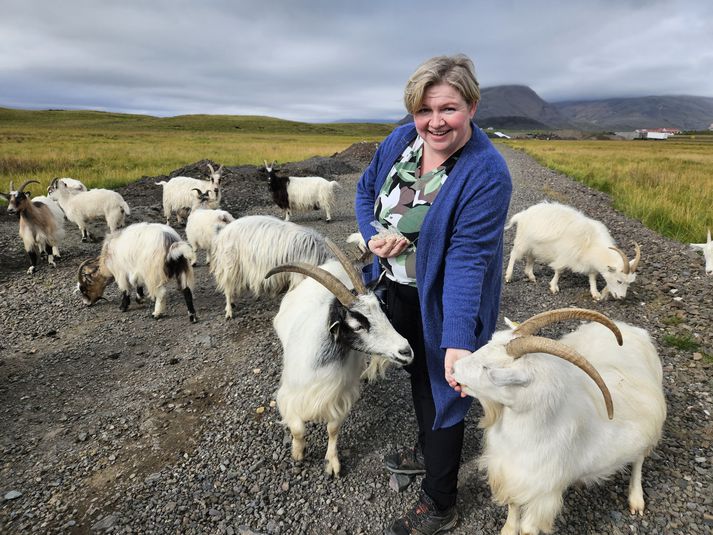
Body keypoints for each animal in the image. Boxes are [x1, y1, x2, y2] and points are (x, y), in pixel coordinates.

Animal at [266, 239, 412, 478]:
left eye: (383, 312)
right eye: (357, 325)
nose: (406, 351)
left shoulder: (338, 397)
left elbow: (333, 429)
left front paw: (332, 463)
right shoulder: (291, 394)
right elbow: (297, 428)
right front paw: (298, 453)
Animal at [454, 310, 664, 535]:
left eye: (487, 368)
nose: (453, 368)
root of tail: (633, 330)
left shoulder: (542, 494)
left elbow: (528, 529)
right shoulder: (513, 476)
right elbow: (513, 506)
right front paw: (508, 530)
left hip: (649, 428)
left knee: (639, 460)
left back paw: (636, 499)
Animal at [506, 202, 640, 302]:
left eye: (629, 283)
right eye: (619, 281)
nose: (621, 297)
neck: (592, 244)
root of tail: (523, 214)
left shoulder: (590, 263)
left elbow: (592, 277)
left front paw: (595, 293)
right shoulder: (565, 255)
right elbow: (559, 271)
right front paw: (553, 287)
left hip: (533, 246)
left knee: (530, 258)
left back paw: (531, 276)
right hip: (522, 241)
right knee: (513, 255)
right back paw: (508, 276)